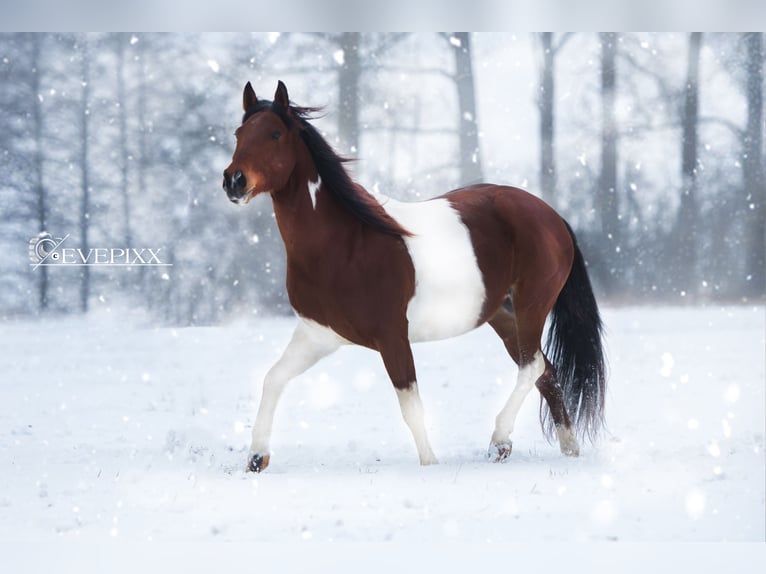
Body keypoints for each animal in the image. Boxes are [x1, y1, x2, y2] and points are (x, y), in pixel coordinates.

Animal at [222, 82, 608, 476]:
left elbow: (410, 405)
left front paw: (429, 464)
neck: (345, 243)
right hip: (504, 316)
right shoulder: (318, 335)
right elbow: (272, 378)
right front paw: (256, 457)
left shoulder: (392, 336)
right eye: (239, 134)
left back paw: (500, 441)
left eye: (274, 134)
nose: (234, 181)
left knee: (533, 367)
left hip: (532, 305)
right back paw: (567, 450)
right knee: (547, 373)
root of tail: (552, 215)